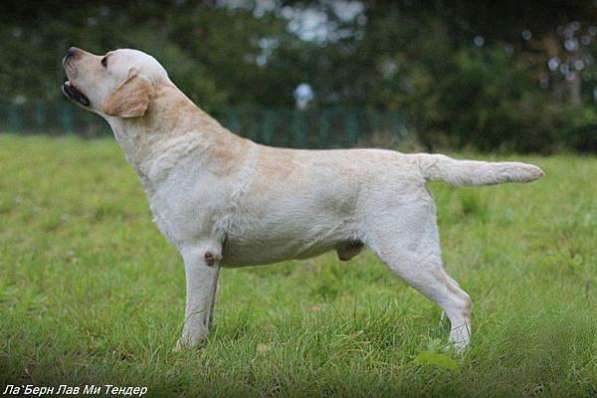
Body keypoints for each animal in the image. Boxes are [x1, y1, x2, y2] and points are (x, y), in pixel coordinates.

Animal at [62, 47, 544, 352]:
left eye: (104, 60)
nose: (68, 49)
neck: (170, 139)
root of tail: (412, 161)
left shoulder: (199, 251)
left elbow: (192, 312)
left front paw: (183, 351)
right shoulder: (212, 259)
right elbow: (208, 312)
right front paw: (204, 348)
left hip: (405, 250)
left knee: (459, 299)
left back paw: (456, 353)